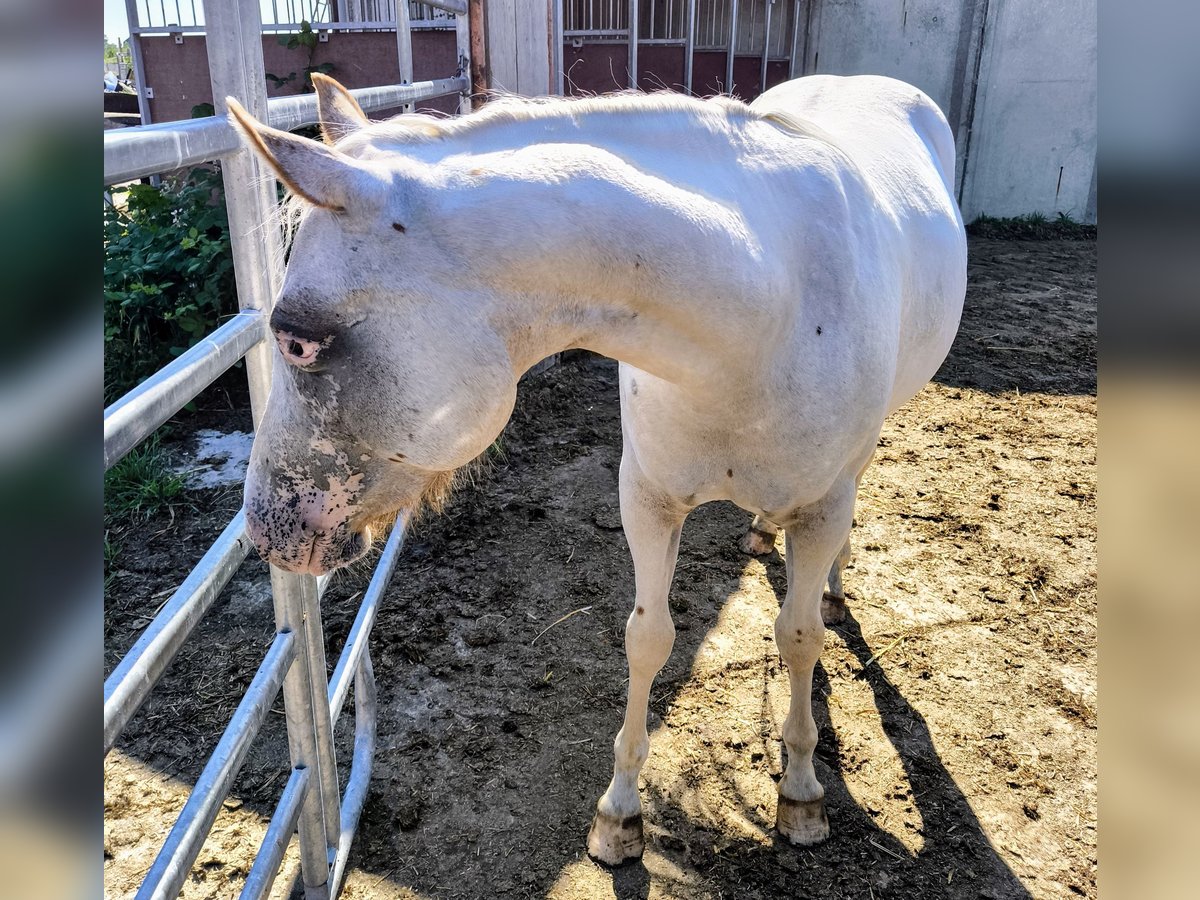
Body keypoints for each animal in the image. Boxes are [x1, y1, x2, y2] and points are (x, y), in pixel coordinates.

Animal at [231, 74, 964, 864]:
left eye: (296, 340)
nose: (264, 531)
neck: (766, 316)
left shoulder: (822, 508)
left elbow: (798, 641)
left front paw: (801, 791)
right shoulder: (648, 500)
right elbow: (647, 640)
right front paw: (620, 813)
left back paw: (829, 584)